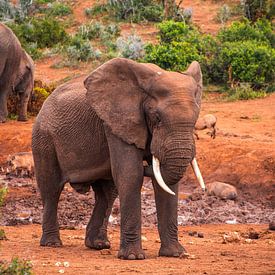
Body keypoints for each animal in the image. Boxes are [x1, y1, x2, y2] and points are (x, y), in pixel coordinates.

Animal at [32, 57, 204, 260]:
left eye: (196, 118)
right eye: (157, 118)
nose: (147, 162)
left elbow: (165, 182)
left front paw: (176, 254)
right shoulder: (116, 121)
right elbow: (130, 174)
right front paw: (133, 257)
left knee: (107, 193)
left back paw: (98, 245)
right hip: (44, 138)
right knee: (51, 189)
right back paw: (52, 244)